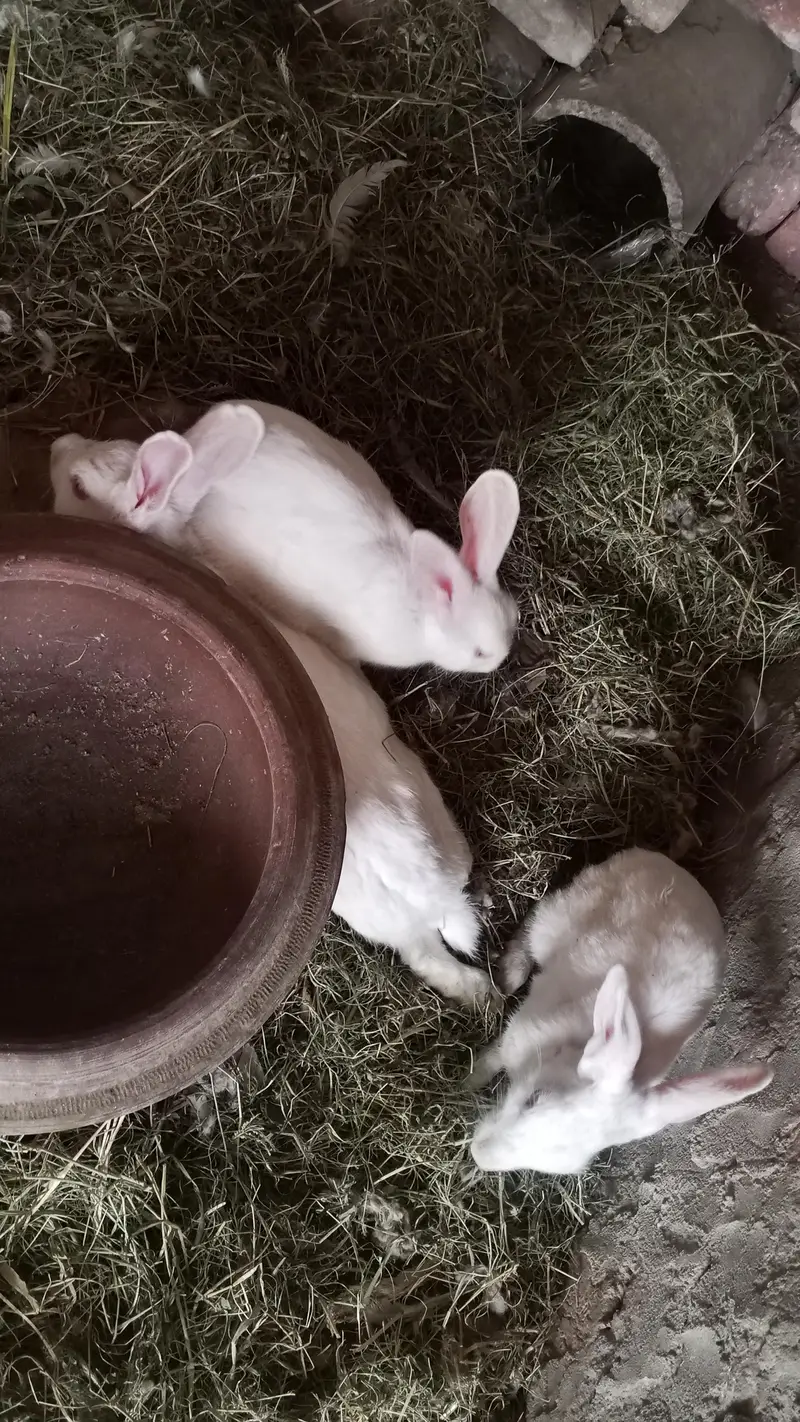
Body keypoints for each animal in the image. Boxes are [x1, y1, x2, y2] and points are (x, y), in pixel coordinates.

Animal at [469, 848, 773, 1175]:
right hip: (561, 913)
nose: (479, 1154)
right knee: (531, 930)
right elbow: (492, 1056)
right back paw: (508, 974)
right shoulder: (518, 1032)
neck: (568, 1046)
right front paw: (468, 1079)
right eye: (534, 1098)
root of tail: (669, 865)